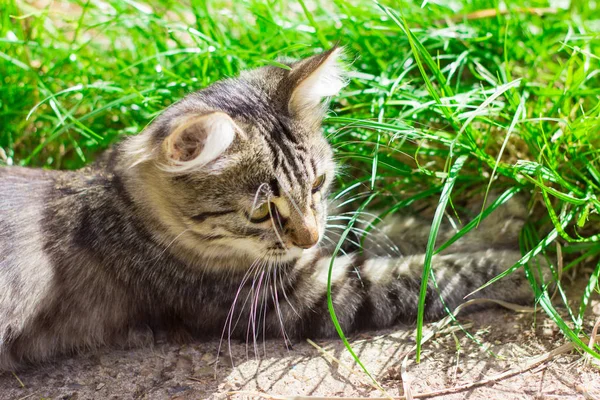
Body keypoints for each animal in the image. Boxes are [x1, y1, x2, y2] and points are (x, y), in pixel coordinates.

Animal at [0, 47, 544, 372]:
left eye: (318, 184)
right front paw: (521, 267)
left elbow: (398, 228)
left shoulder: (330, 227)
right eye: (262, 213)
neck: (125, 205)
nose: (307, 237)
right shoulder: (302, 295)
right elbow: (427, 273)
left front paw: (502, 221)